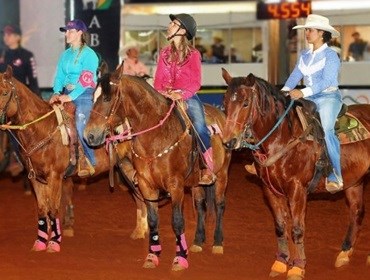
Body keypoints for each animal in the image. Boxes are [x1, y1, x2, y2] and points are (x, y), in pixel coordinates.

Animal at [0, 66, 147, 254]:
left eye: (5, 92)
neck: (42, 129)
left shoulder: (55, 176)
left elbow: (54, 208)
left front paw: (54, 243)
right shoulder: (35, 177)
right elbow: (42, 209)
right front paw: (40, 242)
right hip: (125, 166)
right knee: (139, 196)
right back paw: (140, 231)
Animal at [85, 66, 233, 270]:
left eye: (107, 98)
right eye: (93, 97)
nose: (89, 135)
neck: (156, 136)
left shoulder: (175, 186)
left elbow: (177, 221)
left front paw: (180, 258)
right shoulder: (146, 185)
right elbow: (153, 220)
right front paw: (152, 255)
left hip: (222, 174)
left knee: (219, 205)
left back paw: (218, 243)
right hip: (197, 182)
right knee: (201, 206)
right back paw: (197, 242)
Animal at [221, 68, 368, 280]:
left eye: (245, 103)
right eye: (224, 104)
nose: (228, 142)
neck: (283, 138)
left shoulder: (297, 191)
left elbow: (297, 229)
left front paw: (298, 267)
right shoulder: (270, 190)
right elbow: (281, 227)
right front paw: (281, 262)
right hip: (354, 182)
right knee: (356, 212)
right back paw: (344, 253)